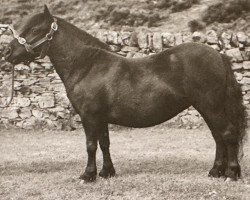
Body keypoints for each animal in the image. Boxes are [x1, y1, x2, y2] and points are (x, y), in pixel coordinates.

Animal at [2, 5, 247, 181]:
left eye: (35, 30)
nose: (7, 52)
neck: (87, 65)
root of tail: (219, 56)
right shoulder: (100, 118)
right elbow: (104, 143)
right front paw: (106, 172)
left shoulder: (89, 117)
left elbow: (90, 145)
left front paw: (88, 175)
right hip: (207, 107)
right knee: (218, 137)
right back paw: (215, 172)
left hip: (211, 106)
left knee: (227, 134)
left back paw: (232, 173)